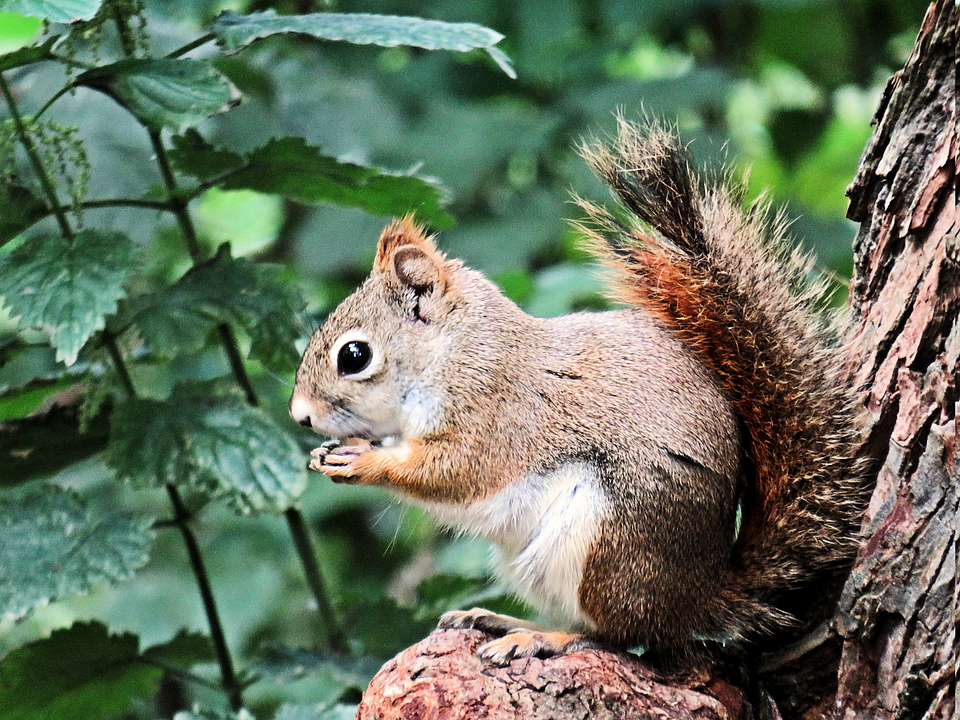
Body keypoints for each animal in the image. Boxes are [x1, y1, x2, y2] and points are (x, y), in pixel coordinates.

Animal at [289, 119, 866, 665]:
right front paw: (328, 453)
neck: (453, 353)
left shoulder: (496, 411)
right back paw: (504, 620)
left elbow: (455, 470)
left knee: (618, 635)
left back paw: (544, 638)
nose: (300, 416)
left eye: (354, 356)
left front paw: (364, 461)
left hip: (607, 538)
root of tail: (697, 598)